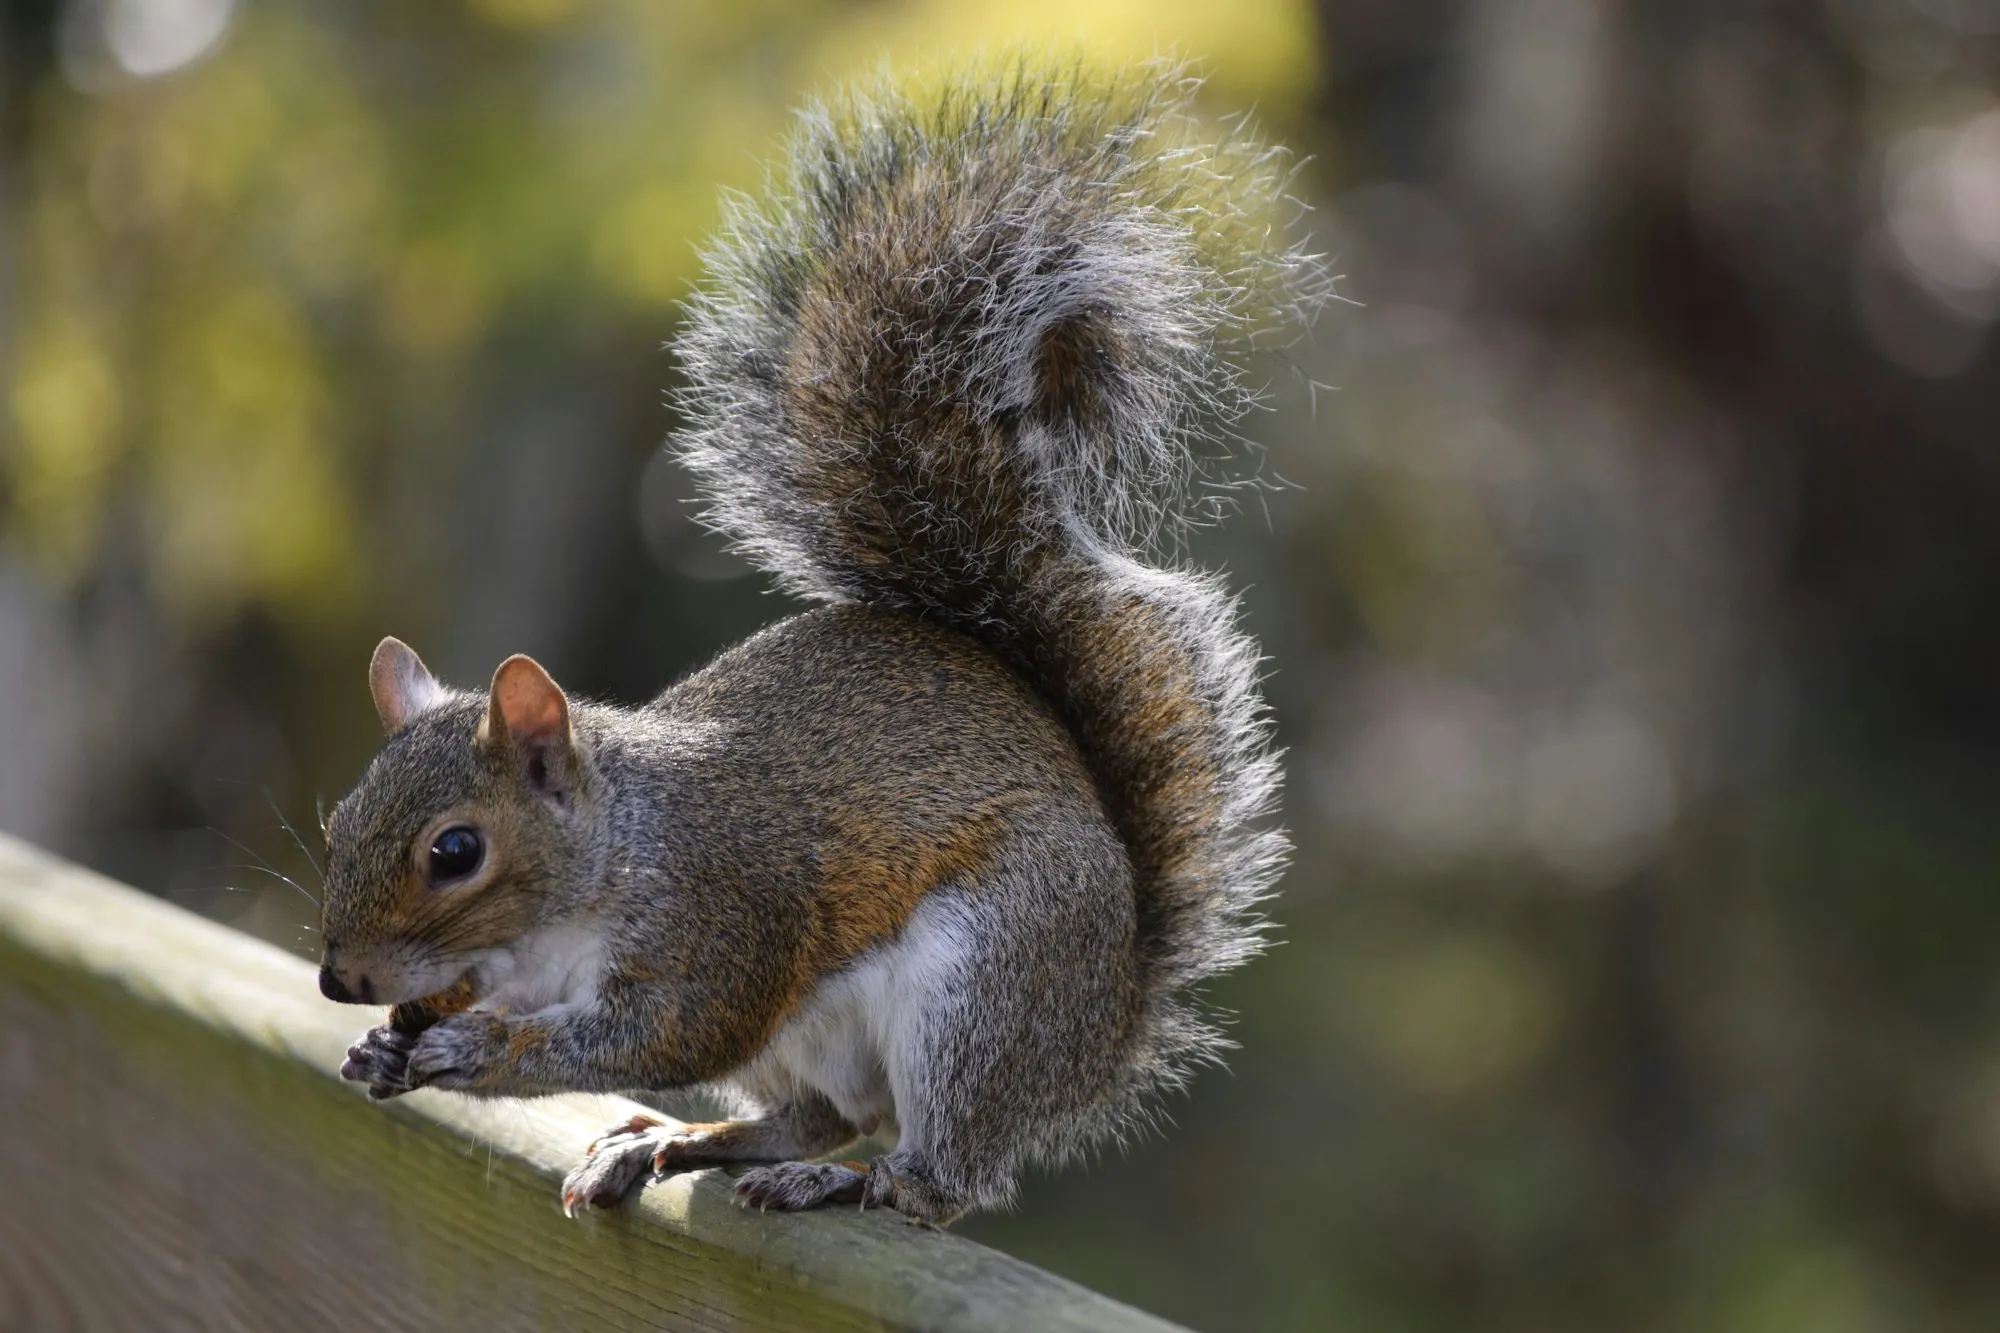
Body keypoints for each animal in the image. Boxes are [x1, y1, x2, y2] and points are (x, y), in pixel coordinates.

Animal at [319, 58, 1318, 1226]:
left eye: (456, 852)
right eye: (338, 823)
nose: (340, 978)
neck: (606, 858)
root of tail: (1104, 1024)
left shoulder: (721, 920)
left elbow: (664, 1030)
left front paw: (477, 1049)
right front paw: (386, 1044)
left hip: (980, 990)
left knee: (933, 1176)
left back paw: (853, 1182)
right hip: (815, 1046)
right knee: (821, 1112)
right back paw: (678, 1139)